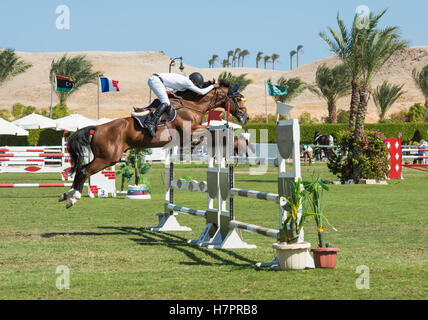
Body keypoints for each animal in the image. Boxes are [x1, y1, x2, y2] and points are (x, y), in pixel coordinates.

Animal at [58, 83, 249, 208]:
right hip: (107, 158)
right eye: (238, 99)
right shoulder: (188, 130)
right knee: (84, 171)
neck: (192, 105)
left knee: (80, 170)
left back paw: (66, 195)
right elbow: (208, 131)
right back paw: (73, 197)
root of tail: (97, 128)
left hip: (105, 158)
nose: (246, 117)